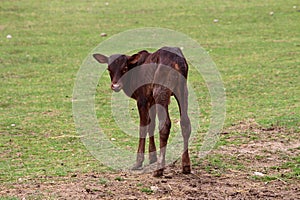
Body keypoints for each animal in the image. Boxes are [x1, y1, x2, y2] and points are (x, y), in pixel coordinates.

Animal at [92, 46, 191, 177]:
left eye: (124, 68)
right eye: (109, 69)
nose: (115, 86)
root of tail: (178, 61)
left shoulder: (142, 98)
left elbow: (143, 126)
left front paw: (138, 162)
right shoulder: (151, 99)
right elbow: (151, 124)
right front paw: (152, 157)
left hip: (161, 90)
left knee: (165, 124)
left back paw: (159, 169)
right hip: (183, 89)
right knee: (185, 122)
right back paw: (186, 165)